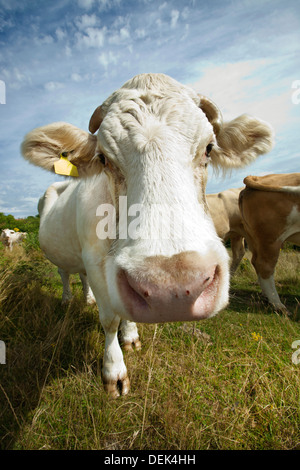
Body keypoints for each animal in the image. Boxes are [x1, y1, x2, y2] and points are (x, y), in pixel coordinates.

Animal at [20, 72, 274, 396]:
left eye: (209, 148)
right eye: (103, 158)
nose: (172, 290)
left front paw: (130, 337)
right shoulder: (96, 261)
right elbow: (109, 318)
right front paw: (114, 371)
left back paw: (86, 299)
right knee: (65, 273)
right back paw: (67, 299)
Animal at [239, 173, 300, 312]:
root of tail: (256, 177)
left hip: (254, 238)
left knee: (255, 262)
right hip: (271, 238)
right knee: (265, 265)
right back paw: (278, 305)